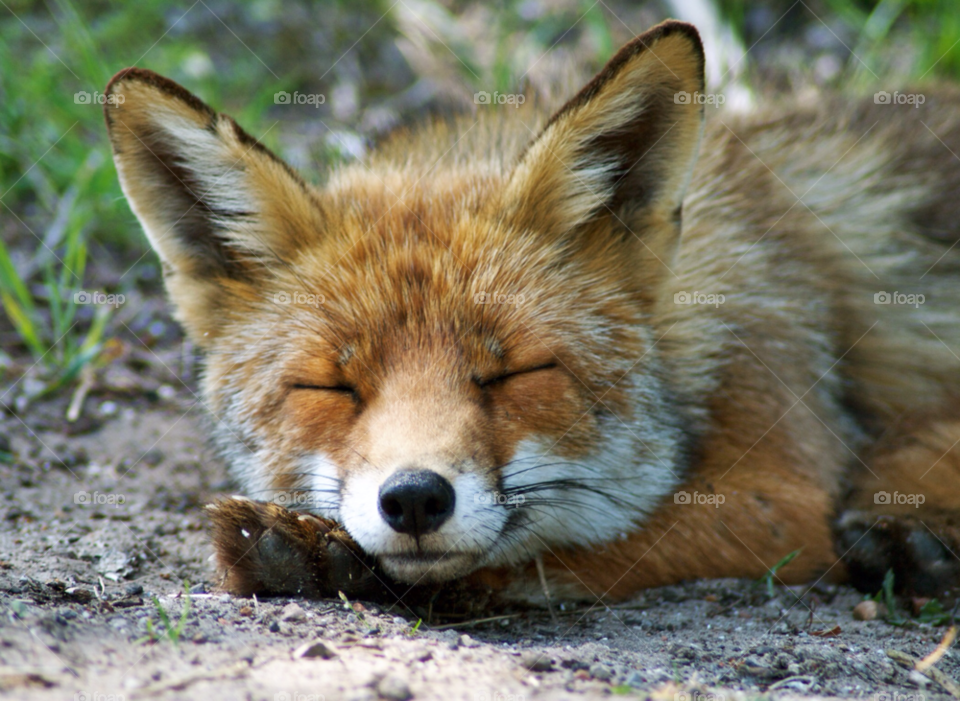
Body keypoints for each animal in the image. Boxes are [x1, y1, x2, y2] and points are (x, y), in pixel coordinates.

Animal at [105, 19, 960, 604]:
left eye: (515, 373)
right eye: (331, 388)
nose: (414, 498)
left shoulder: (779, 486)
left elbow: (548, 546)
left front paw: (324, 558)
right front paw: (315, 548)